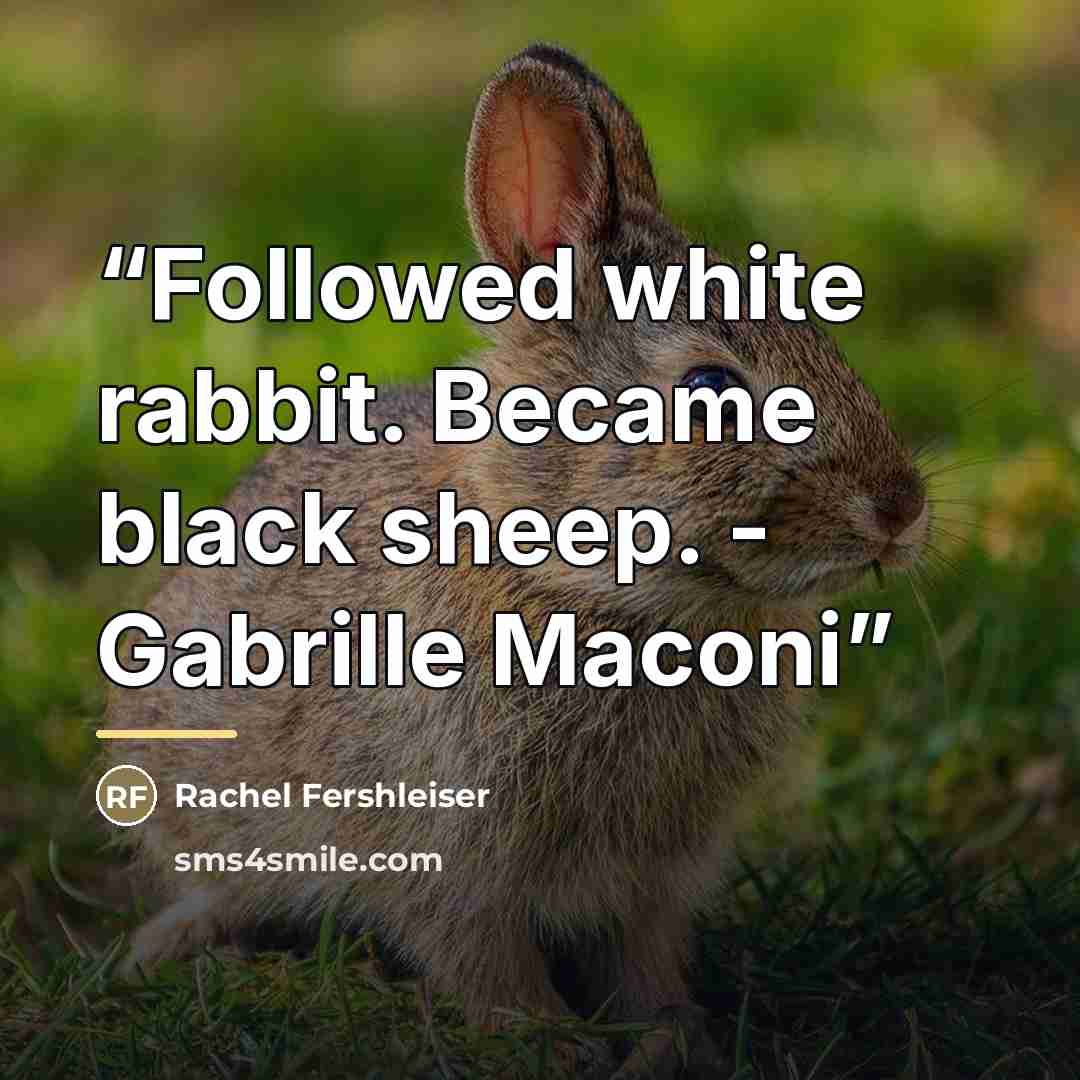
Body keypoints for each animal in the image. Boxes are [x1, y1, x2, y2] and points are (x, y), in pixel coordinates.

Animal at [103, 42, 929, 1075]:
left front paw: (673, 1040)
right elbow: (481, 957)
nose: (902, 506)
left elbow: (645, 959)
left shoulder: (653, 873)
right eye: (709, 388)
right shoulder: (439, 849)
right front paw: (547, 1043)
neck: (592, 591)